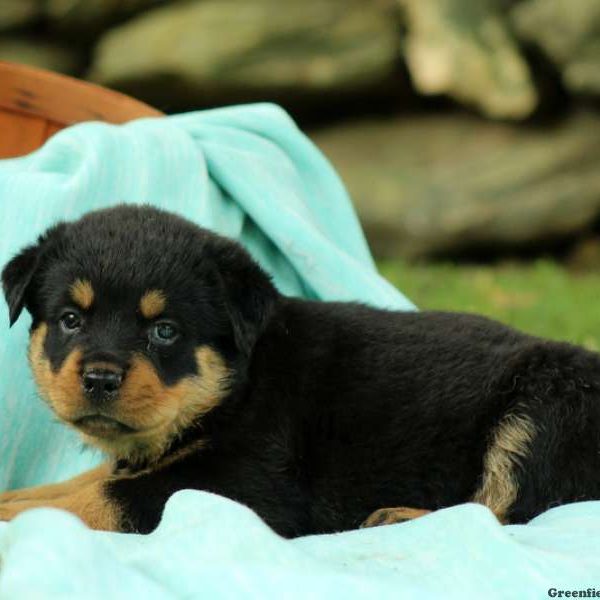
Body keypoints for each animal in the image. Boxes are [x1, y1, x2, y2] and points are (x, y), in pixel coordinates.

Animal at [1, 204, 600, 536]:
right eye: (70, 320)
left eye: (164, 331)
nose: (99, 377)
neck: (235, 391)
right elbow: (84, 481)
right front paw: (17, 497)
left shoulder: (253, 487)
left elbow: (101, 497)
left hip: (546, 408)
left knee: (517, 510)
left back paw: (400, 517)